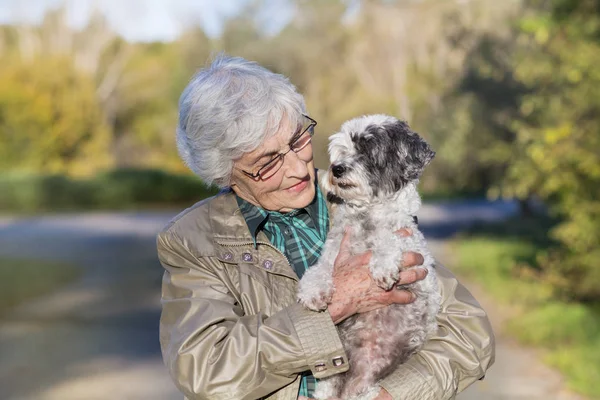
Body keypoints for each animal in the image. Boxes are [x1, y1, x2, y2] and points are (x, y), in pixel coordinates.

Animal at [298, 114, 438, 398]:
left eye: (368, 150)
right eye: (343, 151)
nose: (337, 169)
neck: (368, 217)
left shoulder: (412, 244)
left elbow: (391, 238)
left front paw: (382, 264)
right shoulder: (334, 252)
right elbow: (320, 268)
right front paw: (313, 289)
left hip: (370, 390)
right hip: (329, 387)